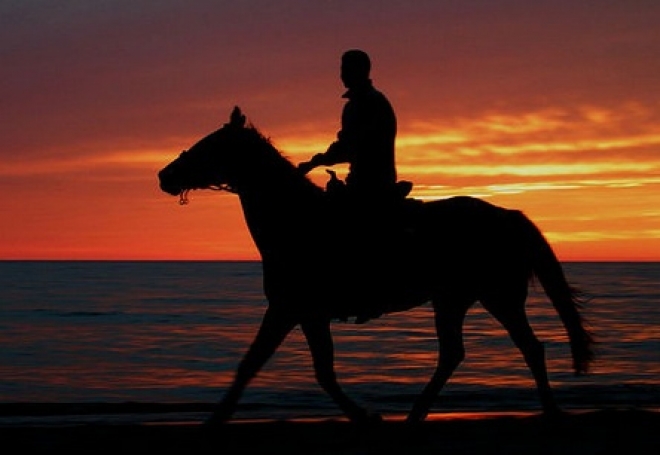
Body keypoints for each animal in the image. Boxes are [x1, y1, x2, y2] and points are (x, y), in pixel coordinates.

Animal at [159, 106, 592, 424]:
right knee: (460, 353)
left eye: (209, 145)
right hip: (455, 299)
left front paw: (215, 421)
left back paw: (549, 412)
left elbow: (258, 364)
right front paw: (366, 415)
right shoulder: (304, 313)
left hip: (496, 297)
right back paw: (417, 414)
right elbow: (316, 370)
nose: (165, 175)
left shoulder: (290, 309)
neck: (297, 220)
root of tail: (510, 216)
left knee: (527, 347)